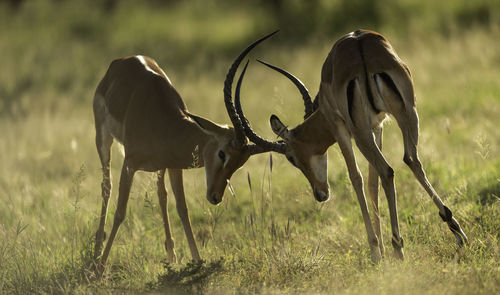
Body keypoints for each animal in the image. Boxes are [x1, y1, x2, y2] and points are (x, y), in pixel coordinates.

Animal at [93, 32, 278, 272]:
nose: (215, 197)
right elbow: (121, 211)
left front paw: (197, 261)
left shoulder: (174, 165)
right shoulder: (129, 164)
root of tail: (121, 61)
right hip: (103, 139)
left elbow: (182, 209)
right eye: (222, 153)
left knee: (161, 194)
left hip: (160, 167)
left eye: (240, 163)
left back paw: (170, 255)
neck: (166, 123)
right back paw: (96, 251)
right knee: (106, 186)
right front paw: (100, 269)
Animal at [235, 28, 468, 262]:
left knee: (387, 170)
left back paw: (398, 247)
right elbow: (372, 182)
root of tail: (361, 49)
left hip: (361, 130)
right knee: (410, 161)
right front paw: (381, 248)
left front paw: (376, 251)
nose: (320, 194)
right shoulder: (377, 126)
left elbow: (356, 177)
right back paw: (457, 232)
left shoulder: (340, 128)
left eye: (291, 158)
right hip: (408, 113)